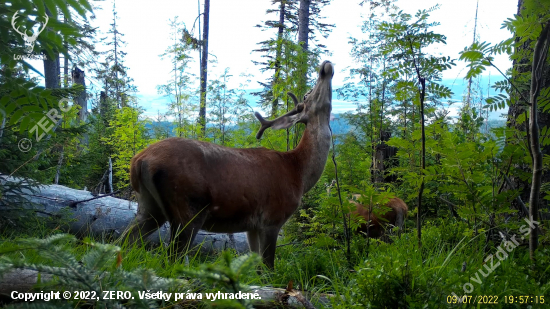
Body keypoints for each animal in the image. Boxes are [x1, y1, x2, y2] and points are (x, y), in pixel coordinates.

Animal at [126, 60, 332, 268]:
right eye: (307, 94)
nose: (325, 66)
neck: (298, 173)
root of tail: (139, 160)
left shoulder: (253, 226)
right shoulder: (272, 218)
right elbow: (268, 267)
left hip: (149, 206)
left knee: (126, 239)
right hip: (188, 208)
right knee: (172, 257)